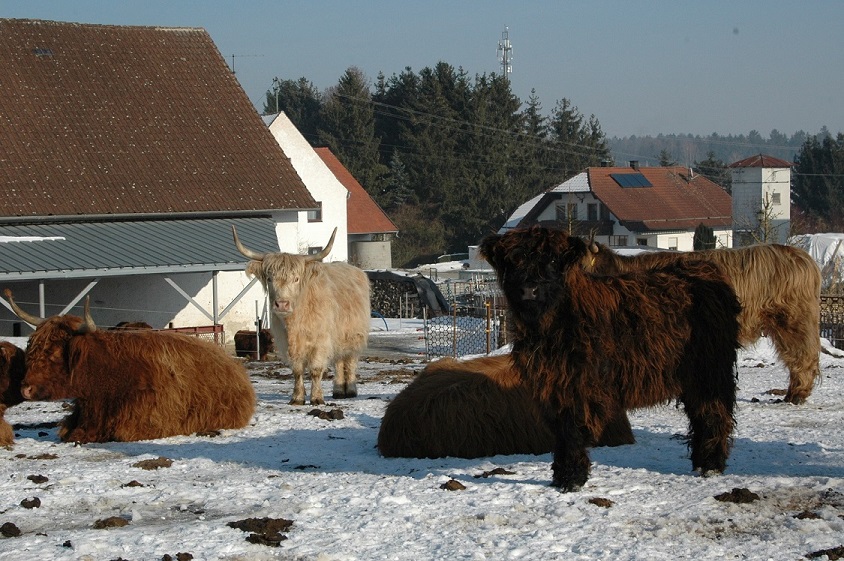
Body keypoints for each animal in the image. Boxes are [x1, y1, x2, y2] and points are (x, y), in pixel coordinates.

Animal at [231, 228, 370, 406]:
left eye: (296, 279)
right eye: (269, 278)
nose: (282, 304)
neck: (295, 323)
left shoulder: (321, 342)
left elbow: (316, 370)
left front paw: (317, 398)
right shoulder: (287, 344)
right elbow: (297, 371)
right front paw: (297, 398)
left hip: (353, 337)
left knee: (349, 360)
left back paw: (349, 390)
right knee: (339, 362)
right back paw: (339, 391)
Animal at [482, 226, 740, 490]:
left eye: (553, 260)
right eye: (513, 260)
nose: (529, 290)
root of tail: (705, 269)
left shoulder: (579, 386)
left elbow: (573, 429)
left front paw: (572, 479)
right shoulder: (551, 385)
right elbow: (561, 431)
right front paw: (561, 476)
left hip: (711, 370)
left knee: (714, 412)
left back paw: (711, 465)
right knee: (700, 414)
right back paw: (700, 462)